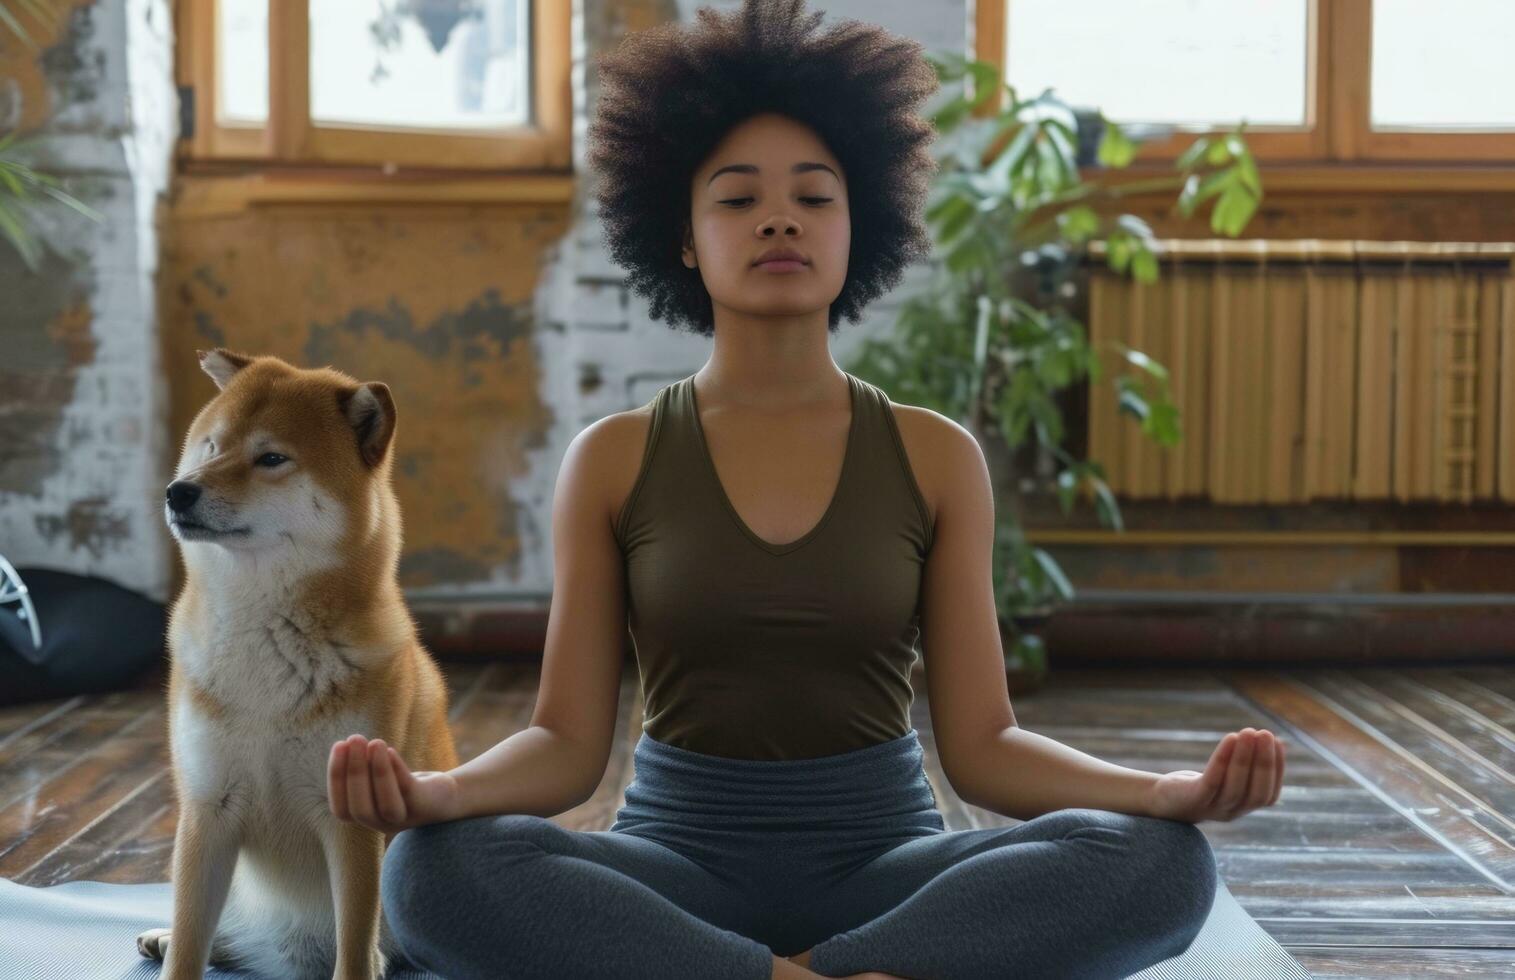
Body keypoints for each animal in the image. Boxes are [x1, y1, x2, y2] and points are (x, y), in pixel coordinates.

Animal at [142, 352, 460, 980]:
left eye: (271, 458)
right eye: (212, 447)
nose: (178, 492)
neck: (265, 642)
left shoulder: (351, 819)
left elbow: (354, 947)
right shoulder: (207, 809)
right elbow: (190, 943)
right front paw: (176, 945)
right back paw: (165, 936)